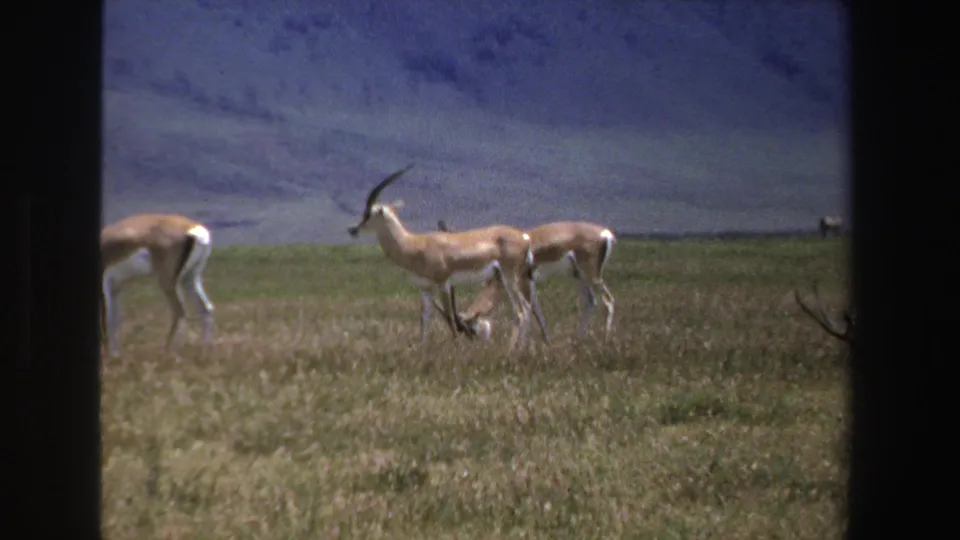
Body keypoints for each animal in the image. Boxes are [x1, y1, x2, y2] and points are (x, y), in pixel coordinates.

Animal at [100, 213, 215, 358]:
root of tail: (194, 230)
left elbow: (106, 321)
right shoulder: (116, 288)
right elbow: (114, 320)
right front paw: (115, 355)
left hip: (167, 282)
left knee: (180, 312)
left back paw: (167, 353)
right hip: (189, 279)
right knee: (206, 309)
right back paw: (204, 353)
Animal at [346, 164, 536, 350]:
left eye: (369, 213)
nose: (353, 230)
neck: (415, 245)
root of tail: (524, 237)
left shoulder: (443, 283)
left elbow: (450, 318)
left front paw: (457, 348)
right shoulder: (425, 288)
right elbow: (424, 318)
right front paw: (422, 349)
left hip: (509, 277)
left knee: (522, 311)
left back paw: (512, 351)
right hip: (504, 279)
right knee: (524, 309)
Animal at [437, 219, 616, 342]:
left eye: (471, 331)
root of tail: (605, 234)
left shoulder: (523, 280)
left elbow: (529, 308)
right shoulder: (529, 281)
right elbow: (535, 307)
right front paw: (546, 341)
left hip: (591, 275)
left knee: (608, 300)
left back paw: (605, 340)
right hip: (578, 275)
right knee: (590, 302)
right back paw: (576, 341)